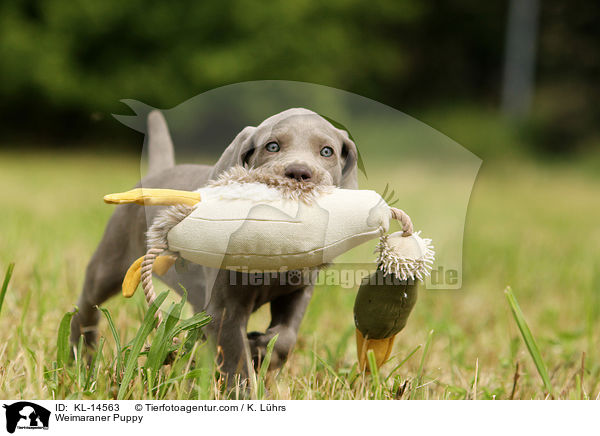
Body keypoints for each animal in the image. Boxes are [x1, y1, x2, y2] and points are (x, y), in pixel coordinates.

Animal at [70, 107, 360, 384]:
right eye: (272, 146)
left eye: (327, 151)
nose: (299, 172)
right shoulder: (224, 311)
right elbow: (237, 365)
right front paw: (244, 385)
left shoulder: (298, 291)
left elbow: (285, 338)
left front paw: (259, 348)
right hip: (110, 261)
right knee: (86, 306)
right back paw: (80, 357)